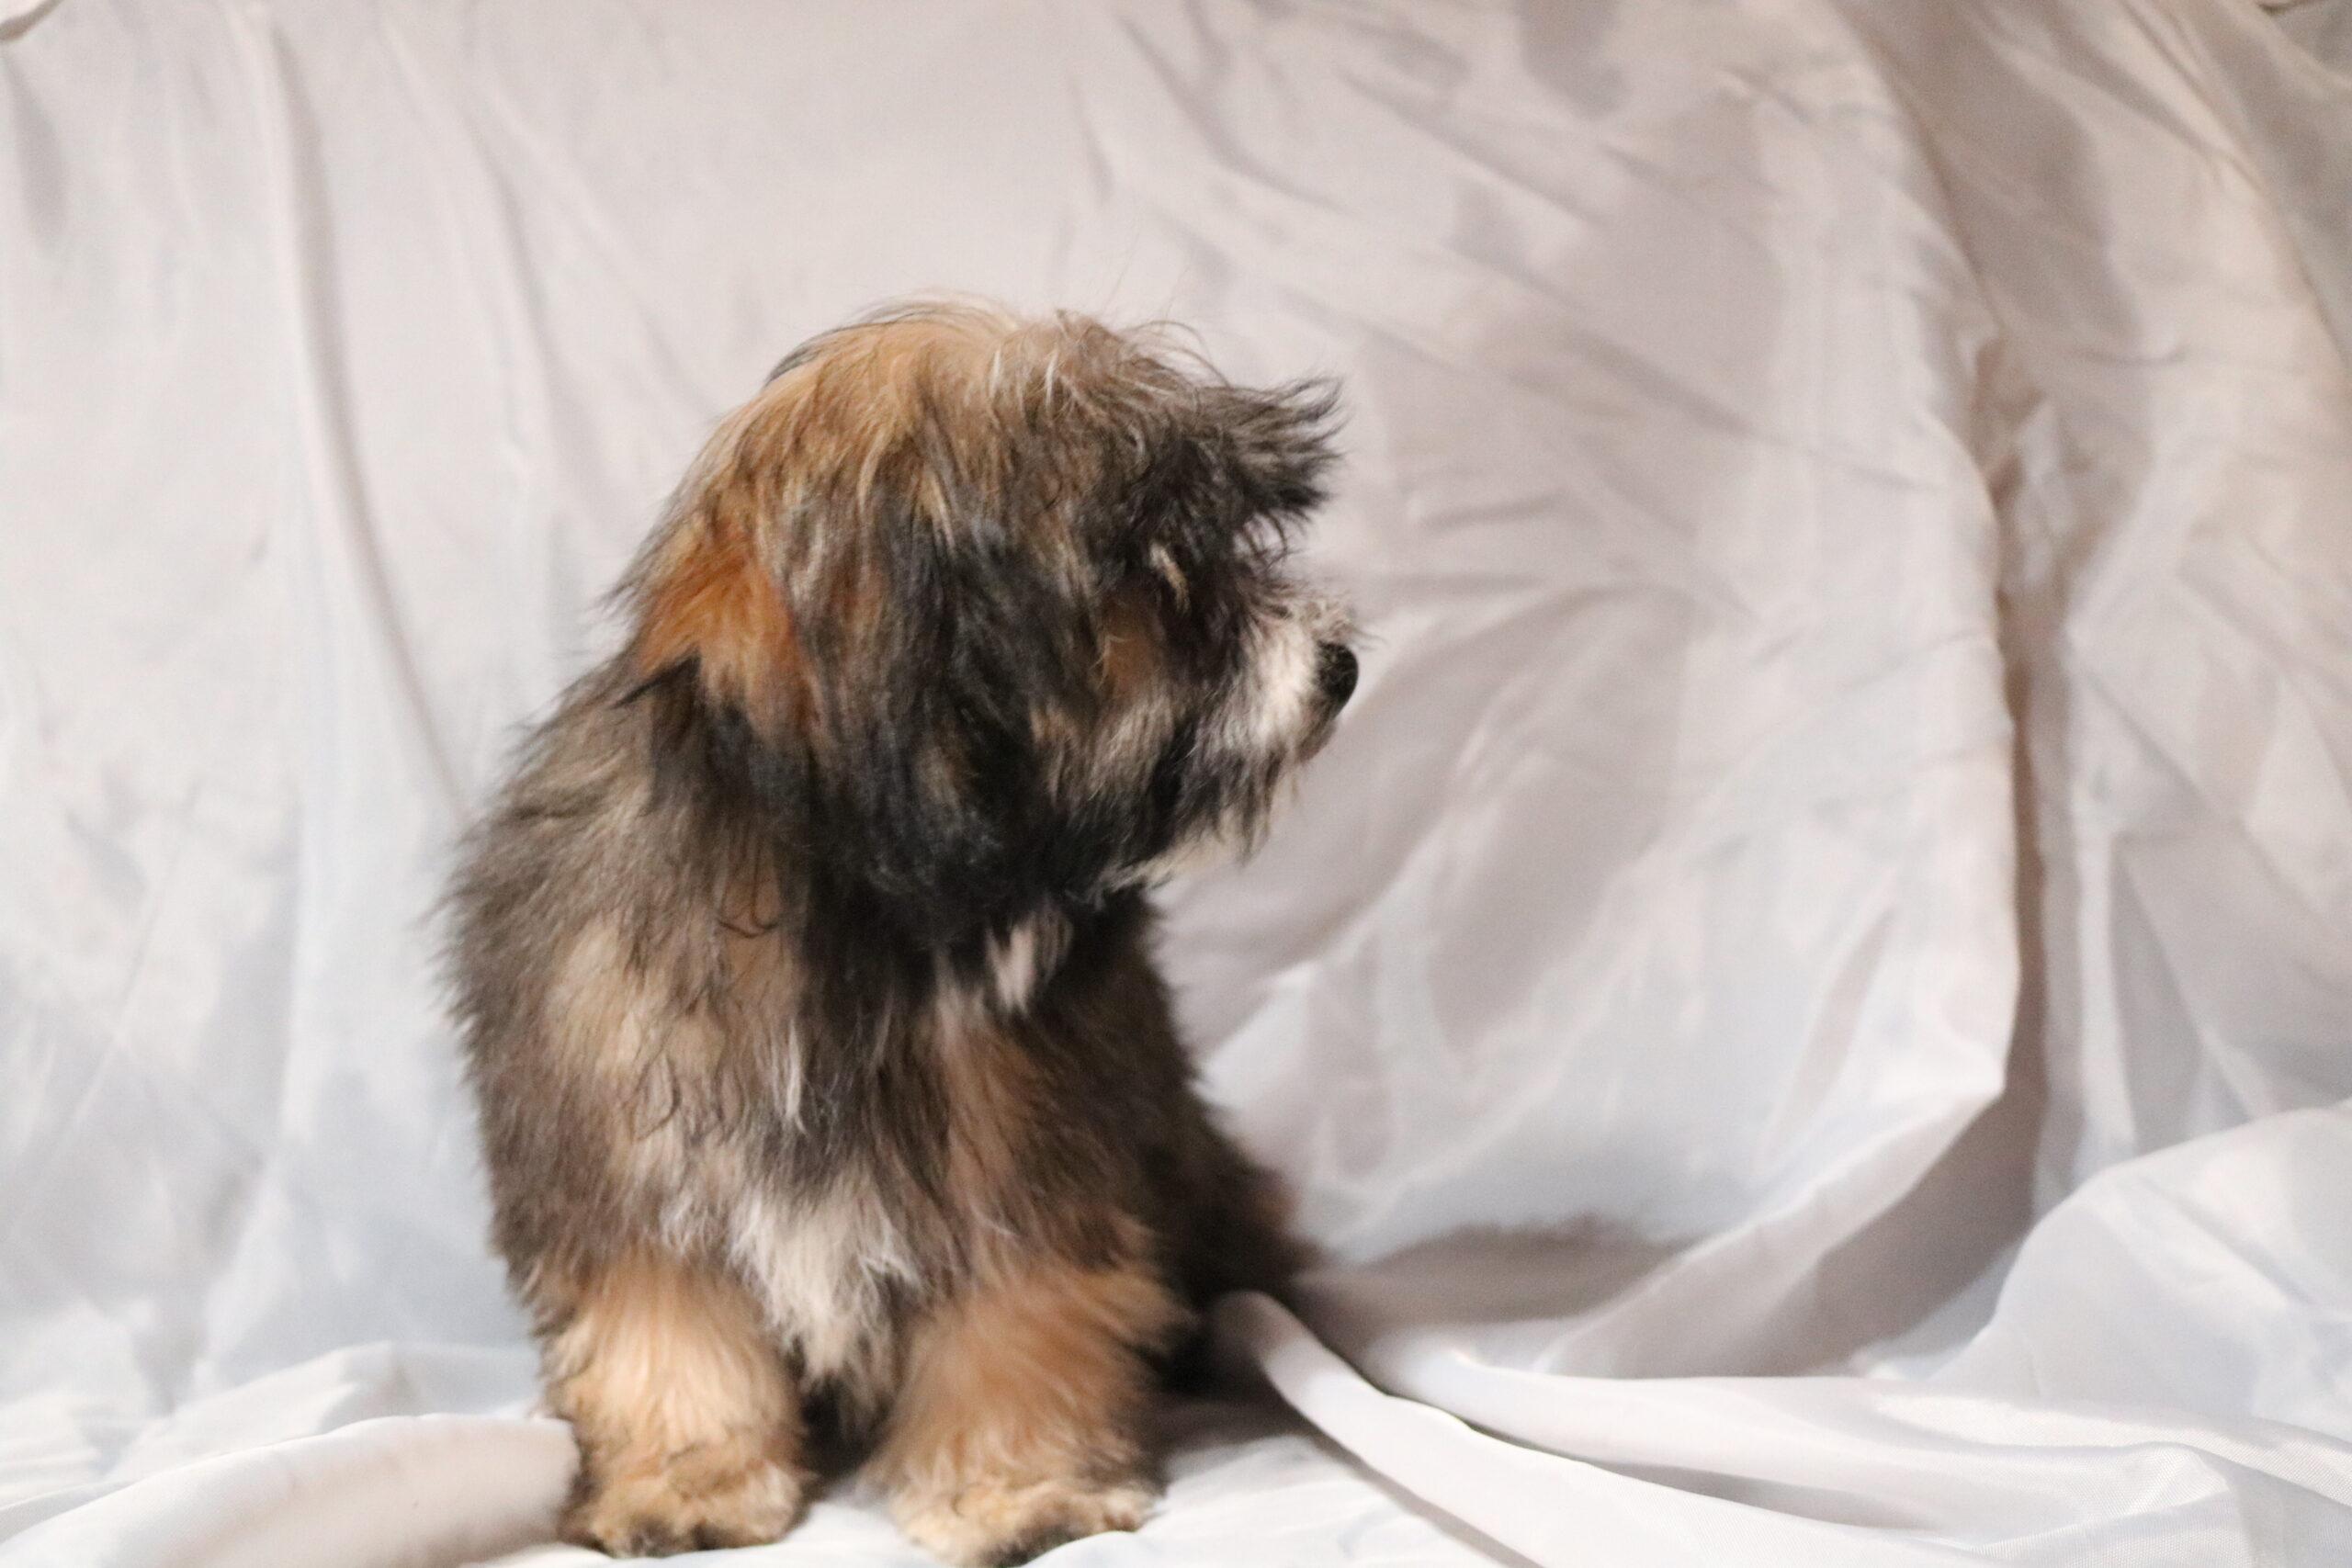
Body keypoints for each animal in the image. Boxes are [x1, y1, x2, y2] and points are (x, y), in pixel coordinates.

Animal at [444, 300, 1363, 1561]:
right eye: (1156, 569)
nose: (1341, 667)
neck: (854, 920)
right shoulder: (624, 1158)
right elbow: (665, 1331)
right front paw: (686, 1479)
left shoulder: (1026, 1158)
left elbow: (1018, 1320)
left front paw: (1016, 1485)